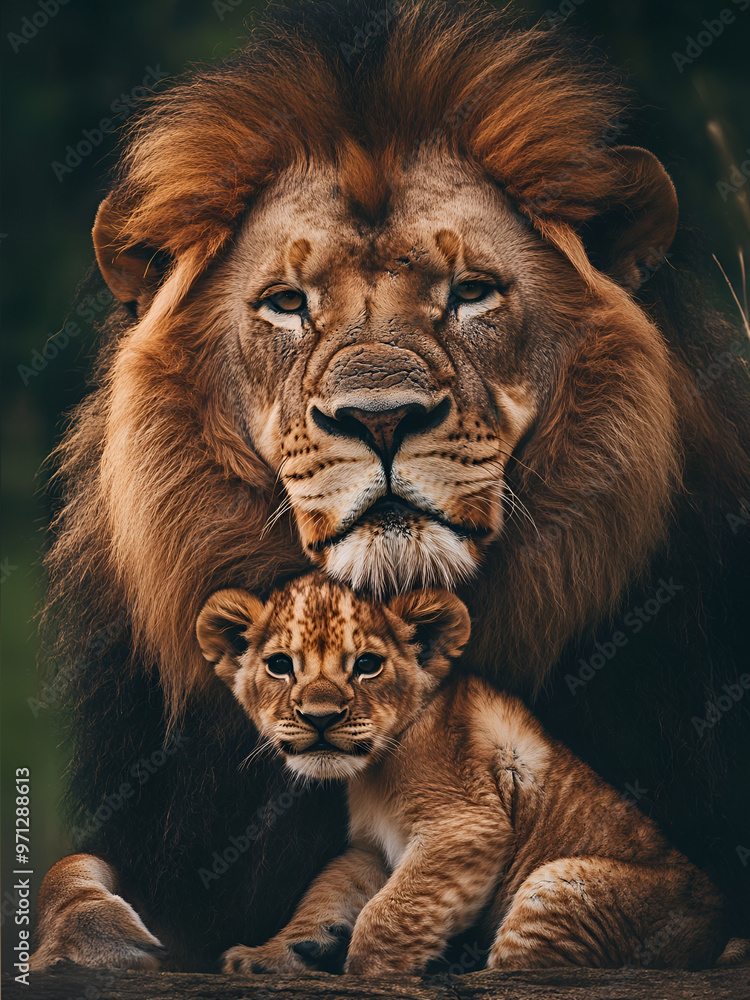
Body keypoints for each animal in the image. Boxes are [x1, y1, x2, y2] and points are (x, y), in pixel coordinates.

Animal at [198, 572, 730, 975]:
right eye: (279, 665)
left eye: (367, 665)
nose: (320, 717)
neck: (373, 771)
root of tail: (716, 930)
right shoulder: (374, 850)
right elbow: (327, 896)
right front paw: (270, 954)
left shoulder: (466, 824)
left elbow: (385, 918)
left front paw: (368, 976)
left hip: (562, 884)